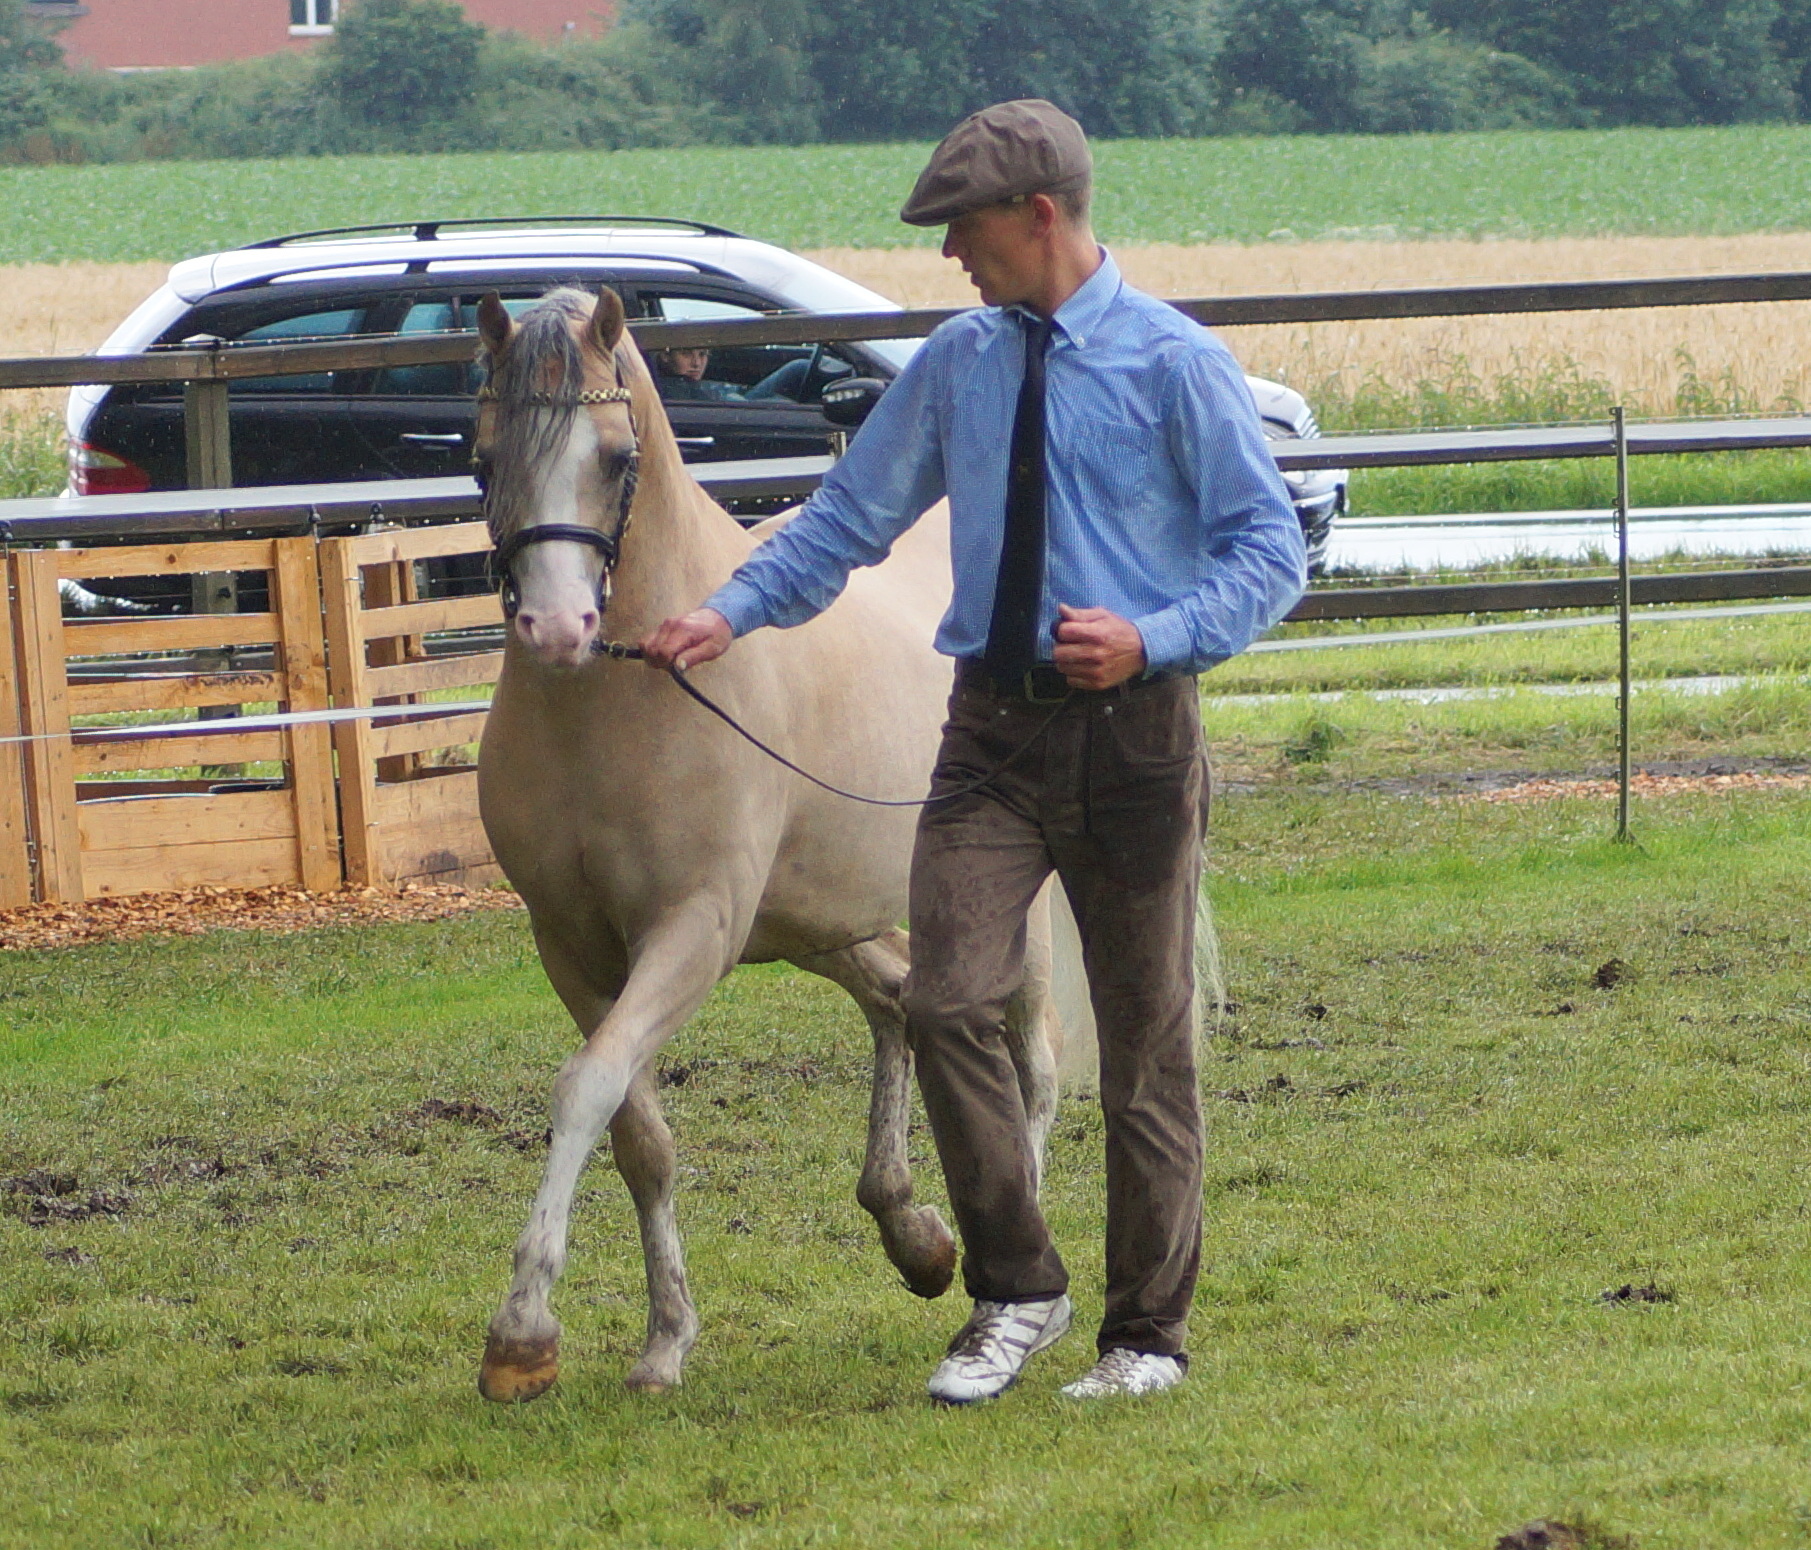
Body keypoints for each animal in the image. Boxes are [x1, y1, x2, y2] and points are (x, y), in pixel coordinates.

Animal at [469, 286, 1079, 1401]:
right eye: (485, 457)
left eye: (613, 457)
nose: (557, 627)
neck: (619, 700)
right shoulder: (571, 947)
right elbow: (638, 1132)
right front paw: (664, 1336)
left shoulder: (692, 932)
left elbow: (586, 1087)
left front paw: (522, 1332)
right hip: (819, 921)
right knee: (899, 1004)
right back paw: (913, 1231)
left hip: (995, 921)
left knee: (1033, 1066)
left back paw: (1018, 1285)